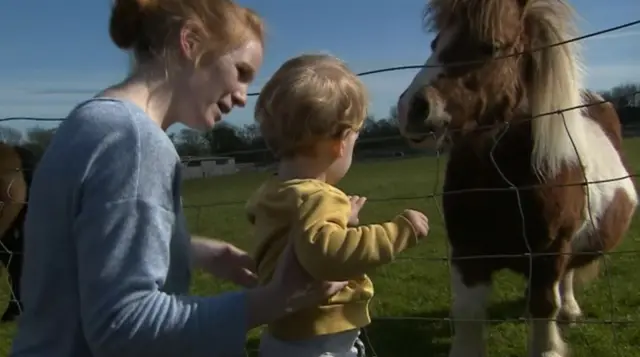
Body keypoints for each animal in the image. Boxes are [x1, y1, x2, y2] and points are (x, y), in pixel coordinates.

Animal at [398, 0, 636, 356]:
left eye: (492, 46)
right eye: (435, 43)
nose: (412, 109)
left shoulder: (550, 252)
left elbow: (544, 307)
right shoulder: (468, 253)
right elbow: (468, 312)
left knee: (564, 280)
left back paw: (569, 310)